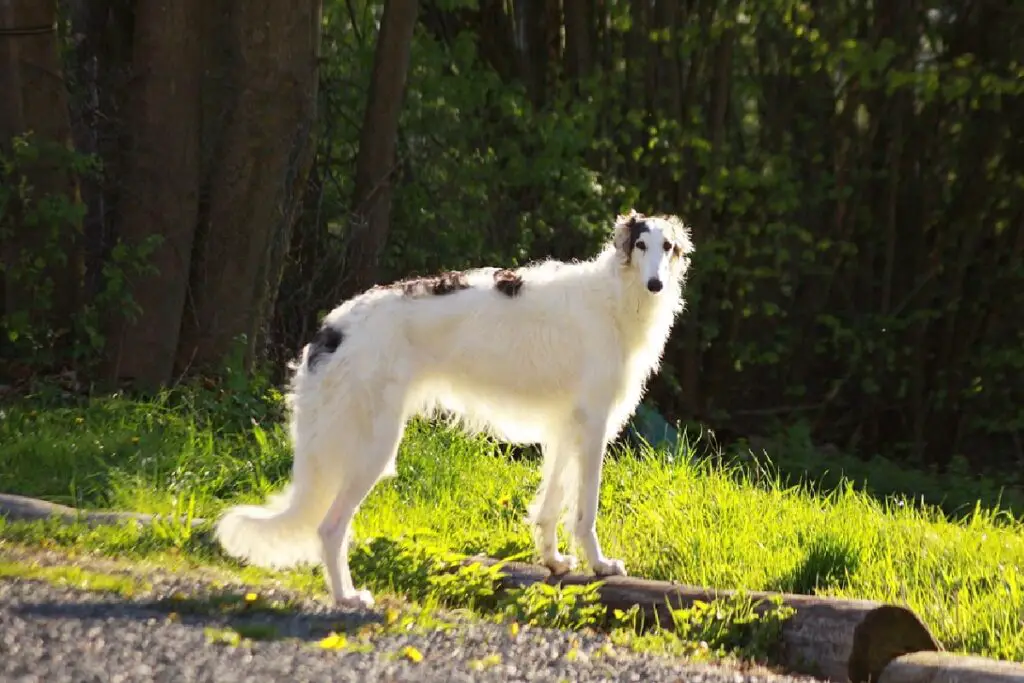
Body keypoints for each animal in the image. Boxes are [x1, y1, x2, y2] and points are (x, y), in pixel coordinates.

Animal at [216, 209, 696, 610]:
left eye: (668, 247)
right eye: (641, 245)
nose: (656, 284)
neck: (614, 299)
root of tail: (332, 328)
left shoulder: (566, 427)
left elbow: (549, 507)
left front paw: (555, 561)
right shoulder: (594, 424)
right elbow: (585, 511)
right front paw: (600, 565)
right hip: (373, 447)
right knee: (329, 528)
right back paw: (347, 597)